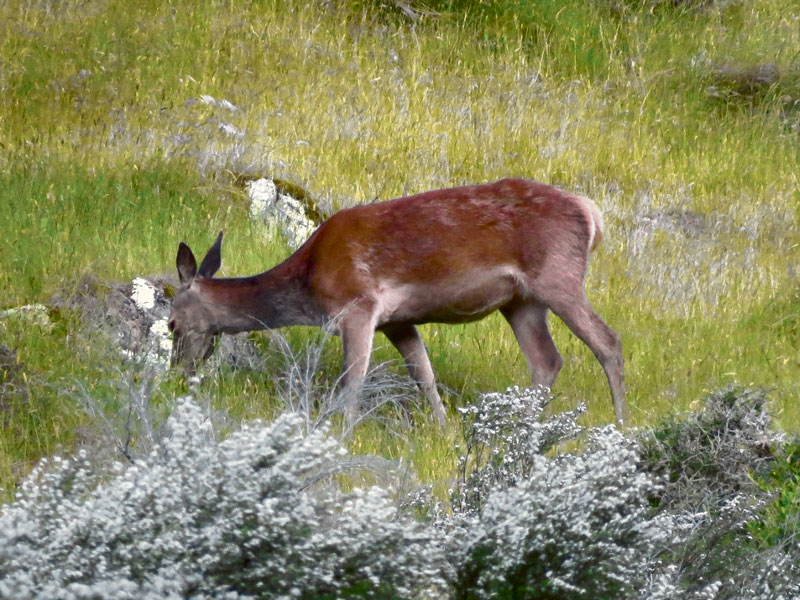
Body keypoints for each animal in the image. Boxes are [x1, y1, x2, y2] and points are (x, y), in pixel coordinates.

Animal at [172, 178, 628, 426]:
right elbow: (423, 373)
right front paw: (444, 429)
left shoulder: (357, 304)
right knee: (546, 359)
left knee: (608, 341)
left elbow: (353, 379)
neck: (308, 285)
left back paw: (620, 425)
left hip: (558, 276)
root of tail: (591, 213)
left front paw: (343, 431)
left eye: (172, 323)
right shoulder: (396, 319)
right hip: (520, 301)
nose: (179, 374)